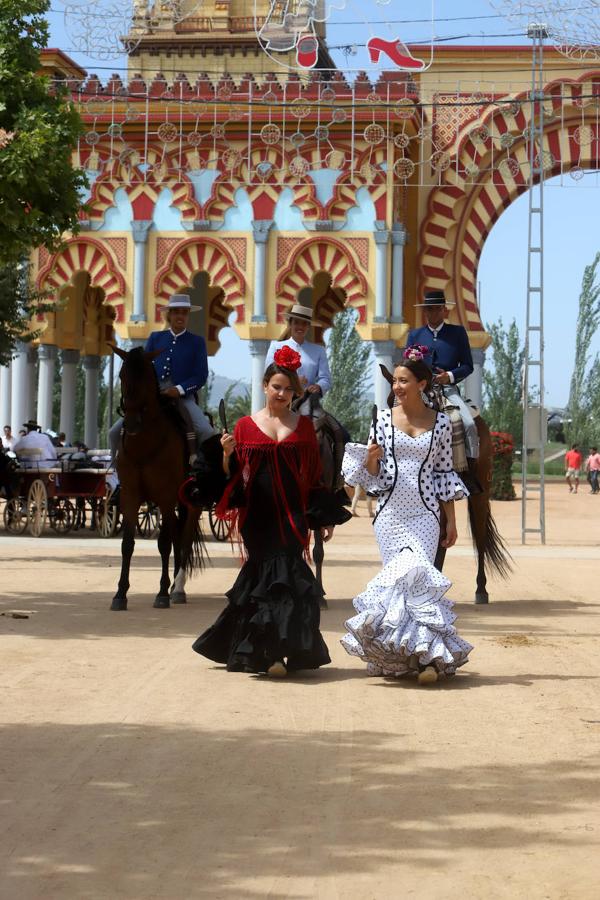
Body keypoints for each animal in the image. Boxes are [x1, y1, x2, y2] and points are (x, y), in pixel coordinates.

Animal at [110, 346, 206, 612]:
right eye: (121, 375)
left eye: (145, 377)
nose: (132, 423)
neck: (145, 445)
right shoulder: (130, 496)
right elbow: (127, 544)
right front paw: (120, 594)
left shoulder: (165, 497)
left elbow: (164, 543)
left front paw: (162, 593)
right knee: (178, 537)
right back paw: (174, 585)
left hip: (190, 503)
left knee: (183, 540)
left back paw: (177, 588)